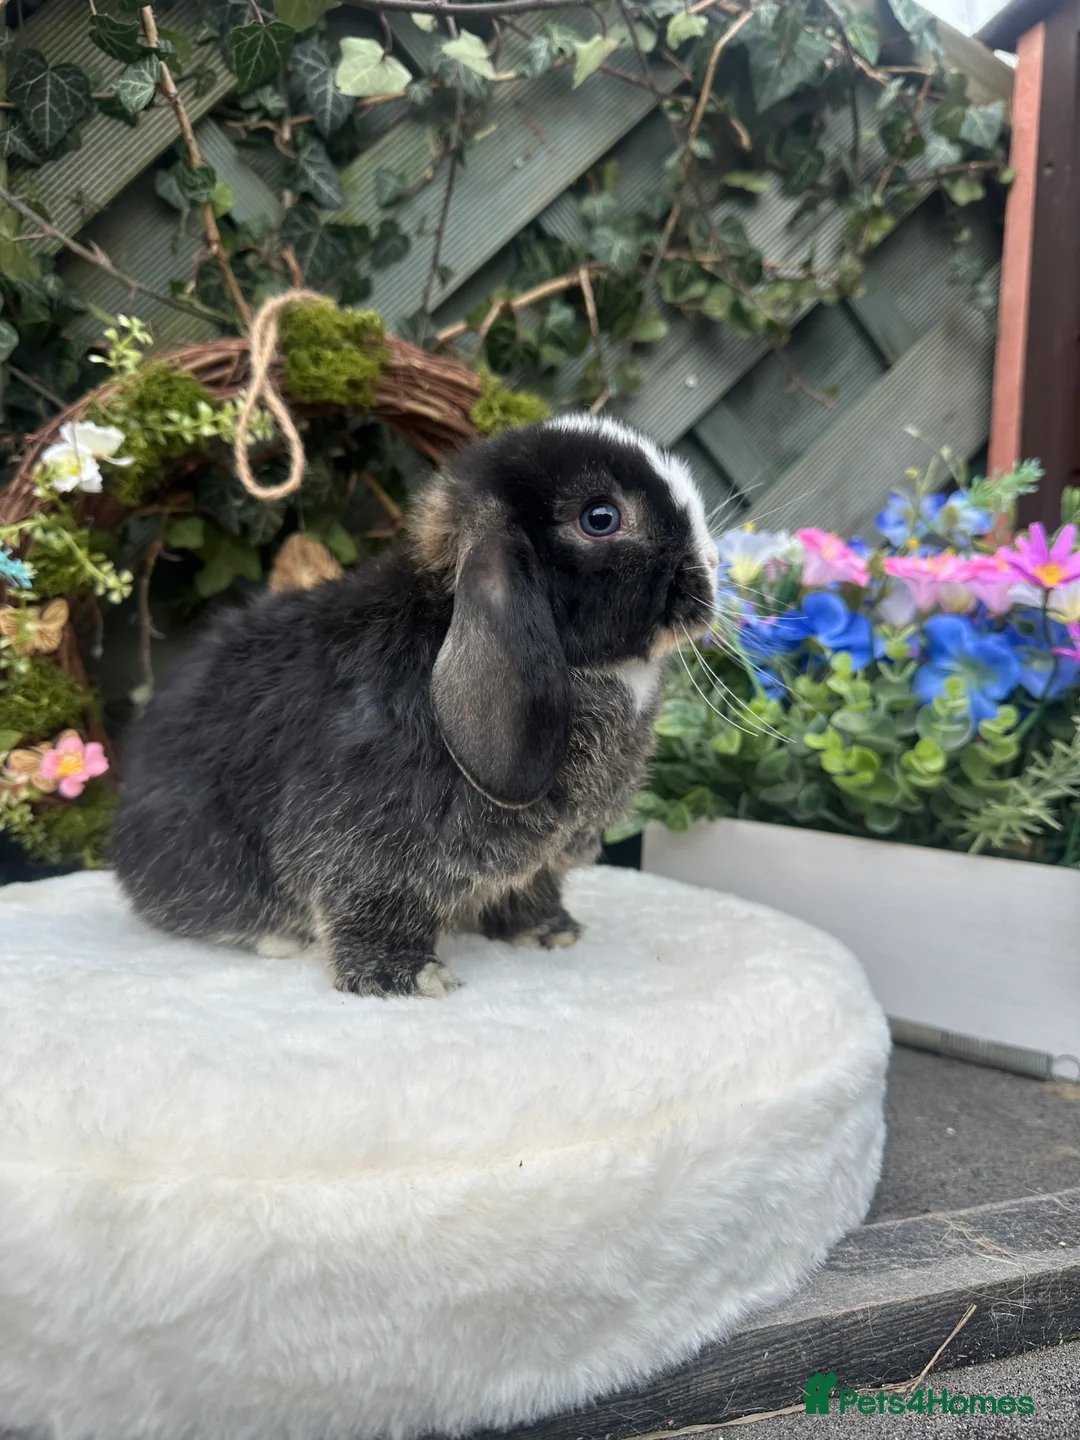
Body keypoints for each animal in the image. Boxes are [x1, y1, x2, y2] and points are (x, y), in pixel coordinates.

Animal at [112, 415, 719, 997]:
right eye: (601, 518)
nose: (713, 561)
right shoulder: (369, 850)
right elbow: (373, 907)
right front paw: (406, 978)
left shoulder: (538, 865)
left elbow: (529, 890)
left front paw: (550, 933)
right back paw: (276, 939)